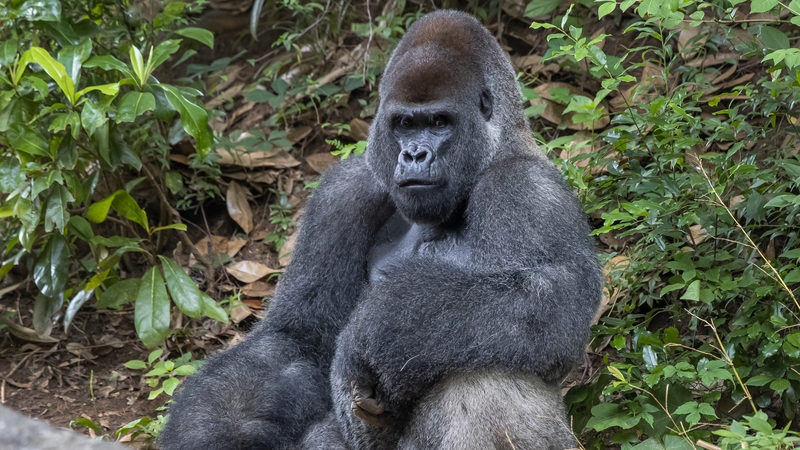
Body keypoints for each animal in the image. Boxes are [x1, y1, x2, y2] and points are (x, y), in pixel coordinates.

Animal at [161, 10, 600, 450]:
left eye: (439, 122)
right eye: (404, 124)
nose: (415, 154)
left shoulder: (526, 187)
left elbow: (553, 301)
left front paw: (381, 326)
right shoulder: (342, 192)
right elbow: (298, 337)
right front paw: (208, 428)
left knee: (485, 366)